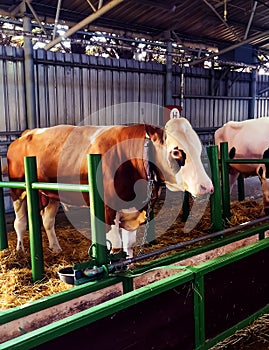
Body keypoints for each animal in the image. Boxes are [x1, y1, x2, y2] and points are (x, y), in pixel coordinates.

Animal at [6, 117, 214, 258]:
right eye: (176, 152)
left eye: (199, 148)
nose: (207, 187)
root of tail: (27, 133)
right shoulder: (107, 211)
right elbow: (116, 246)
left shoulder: (132, 211)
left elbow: (128, 246)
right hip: (17, 192)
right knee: (20, 222)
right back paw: (20, 251)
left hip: (51, 195)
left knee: (48, 221)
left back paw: (56, 248)